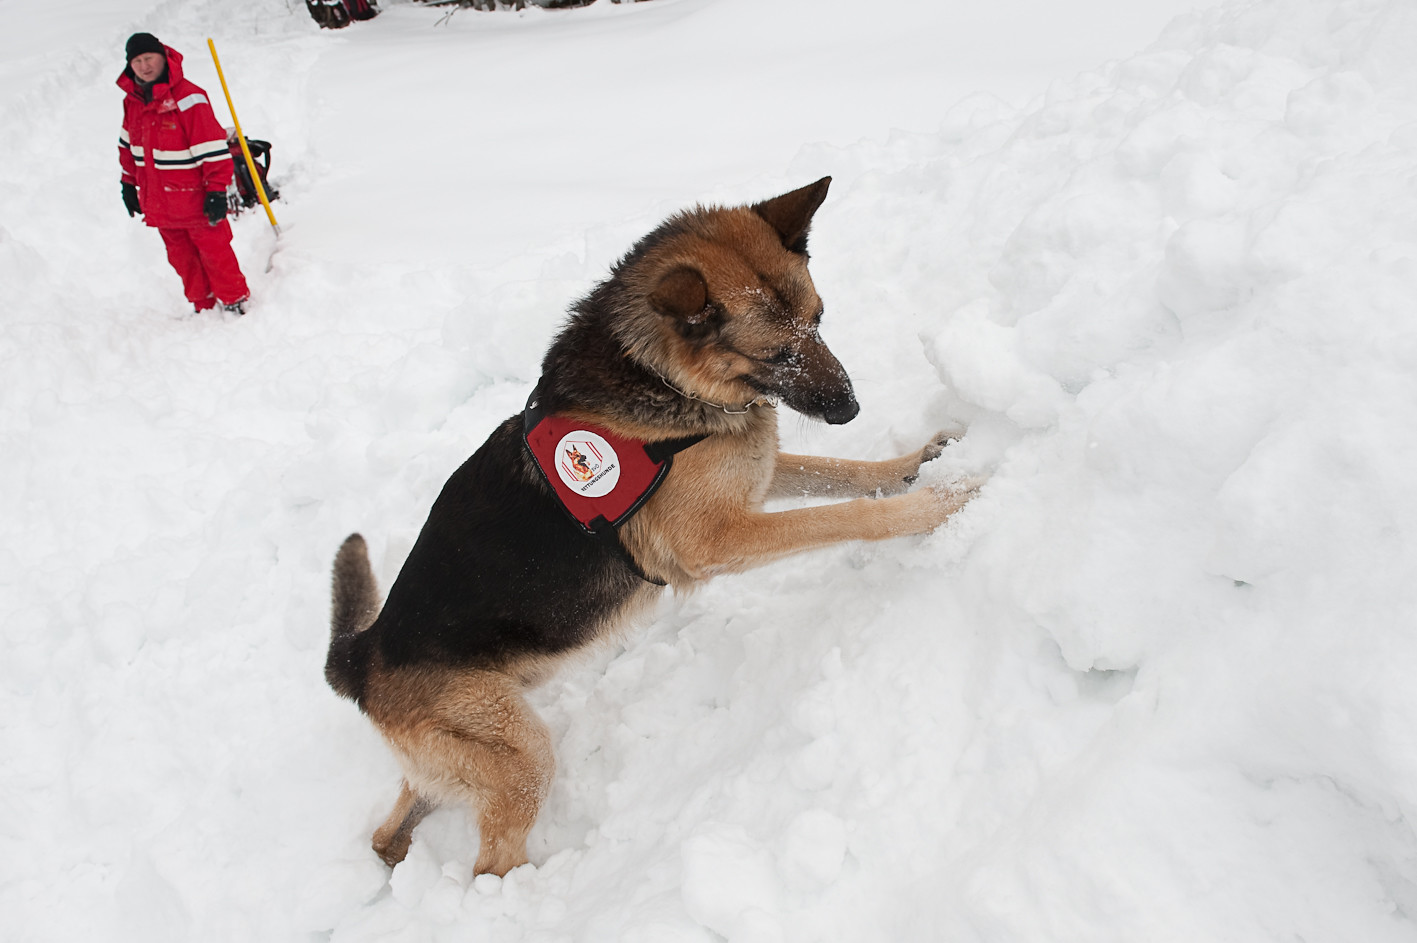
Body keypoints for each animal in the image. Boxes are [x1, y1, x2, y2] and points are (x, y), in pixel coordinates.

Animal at [324, 178, 980, 873]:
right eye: (775, 353)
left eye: (820, 319)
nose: (850, 408)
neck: (658, 376)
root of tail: (360, 657)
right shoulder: (718, 538)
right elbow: (847, 512)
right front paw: (941, 502)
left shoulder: (754, 476)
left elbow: (845, 472)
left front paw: (920, 462)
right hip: (521, 754)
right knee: (489, 864)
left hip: (468, 756)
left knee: (391, 832)